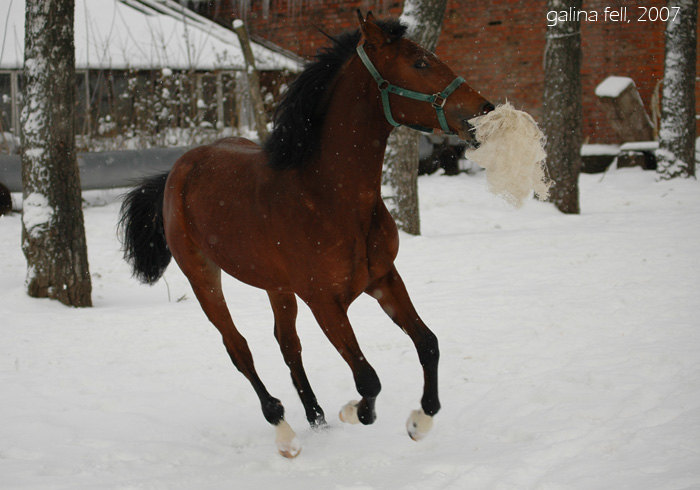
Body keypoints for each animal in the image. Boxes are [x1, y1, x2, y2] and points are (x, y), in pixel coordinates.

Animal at [119, 11, 492, 458]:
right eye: (420, 63)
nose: (484, 111)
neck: (330, 196)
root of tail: (177, 168)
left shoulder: (384, 279)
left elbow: (428, 343)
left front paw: (420, 421)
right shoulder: (324, 302)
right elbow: (368, 378)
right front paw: (354, 412)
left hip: (276, 286)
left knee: (286, 343)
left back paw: (316, 417)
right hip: (203, 277)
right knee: (239, 348)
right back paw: (284, 430)